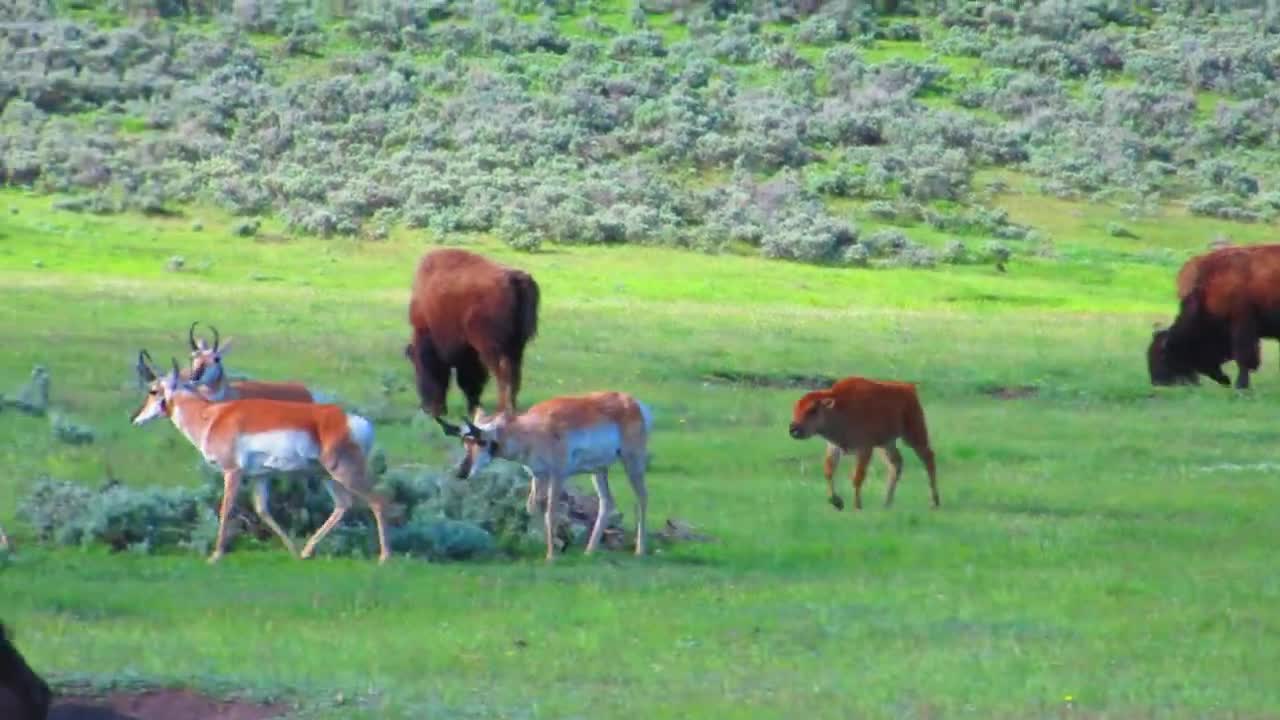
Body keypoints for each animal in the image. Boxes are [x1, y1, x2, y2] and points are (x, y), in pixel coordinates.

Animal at [401, 245, 537, 415]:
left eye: (419, 371)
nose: (428, 409)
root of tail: (513, 278)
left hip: (491, 347)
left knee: (503, 374)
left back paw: (501, 410)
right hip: (516, 346)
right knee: (515, 374)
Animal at [783, 376, 936, 509]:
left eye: (812, 410)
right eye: (795, 408)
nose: (793, 429)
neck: (839, 408)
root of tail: (908, 388)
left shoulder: (864, 449)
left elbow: (857, 477)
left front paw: (857, 506)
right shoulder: (834, 447)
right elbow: (829, 471)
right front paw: (836, 502)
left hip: (913, 434)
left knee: (928, 458)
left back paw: (935, 502)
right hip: (886, 443)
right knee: (896, 464)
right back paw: (886, 503)